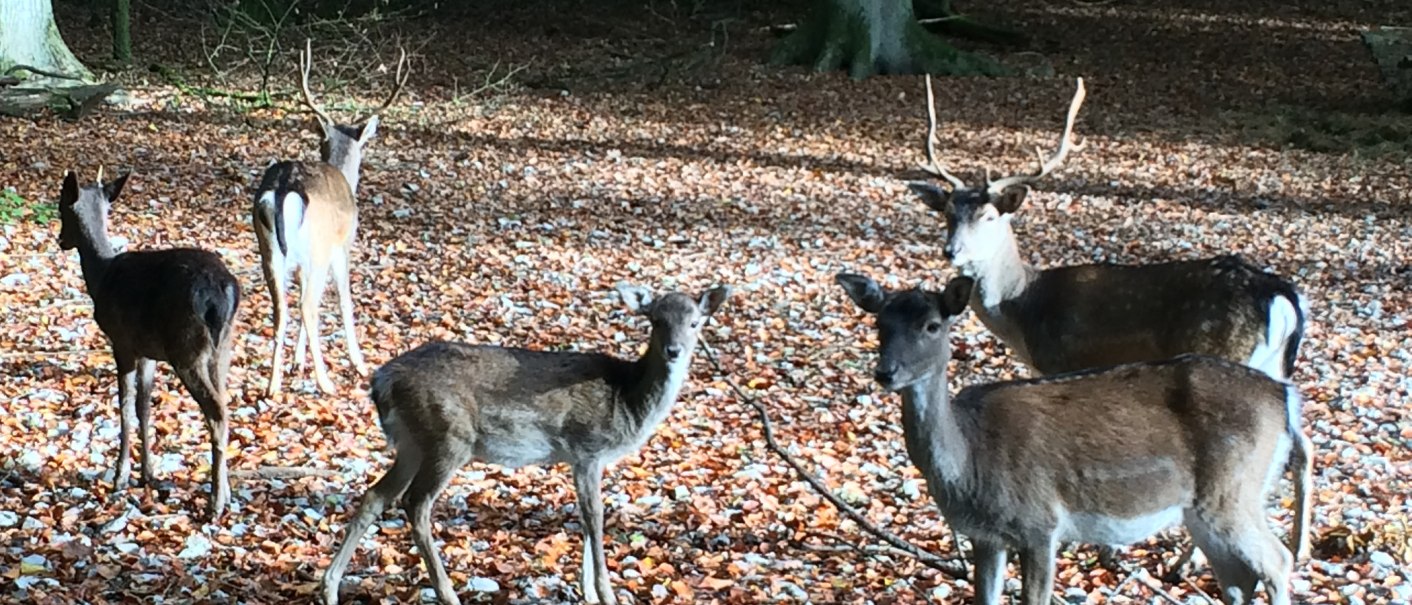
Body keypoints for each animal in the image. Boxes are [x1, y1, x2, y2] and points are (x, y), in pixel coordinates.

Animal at [56, 171, 240, 520]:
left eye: (60, 209)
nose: (60, 240)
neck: (101, 276)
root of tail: (222, 293)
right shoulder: (148, 351)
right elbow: (144, 406)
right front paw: (148, 473)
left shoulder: (122, 342)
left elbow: (125, 406)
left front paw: (120, 477)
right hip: (222, 348)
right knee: (225, 404)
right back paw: (226, 493)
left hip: (188, 350)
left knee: (216, 413)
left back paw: (215, 503)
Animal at [252, 39, 409, 395]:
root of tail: (285, 188)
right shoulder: (343, 244)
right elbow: (344, 300)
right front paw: (359, 362)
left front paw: (297, 362)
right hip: (319, 247)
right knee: (308, 306)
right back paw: (326, 382)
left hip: (269, 248)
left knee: (281, 308)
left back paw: (273, 384)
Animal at [320, 284, 734, 605]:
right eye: (656, 321)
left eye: (696, 322)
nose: (674, 351)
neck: (627, 401)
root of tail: (382, 381)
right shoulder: (587, 446)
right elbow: (595, 516)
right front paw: (606, 593)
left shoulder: (582, 459)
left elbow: (585, 518)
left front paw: (588, 592)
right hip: (448, 435)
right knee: (415, 502)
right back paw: (448, 593)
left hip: (411, 442)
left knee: (376, 495)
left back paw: (330, 588)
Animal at [835, 272, 1310, 605]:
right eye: (879, 323)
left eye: (933, 325)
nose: (886, 372)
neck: (970, 463)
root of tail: (1284, 399)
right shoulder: (985, 537)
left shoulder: (1040, 523)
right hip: (1204, 507)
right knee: (1238, 579)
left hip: (1234, 490)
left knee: (1277, 561)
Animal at [909, 73, 1304, 381]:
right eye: (947, 212)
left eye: (989, 216)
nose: (952, 251)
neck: (1023, 307)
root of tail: (1282, 297)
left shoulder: (1062, 363)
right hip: (1274, 368)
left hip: (1223, 351)